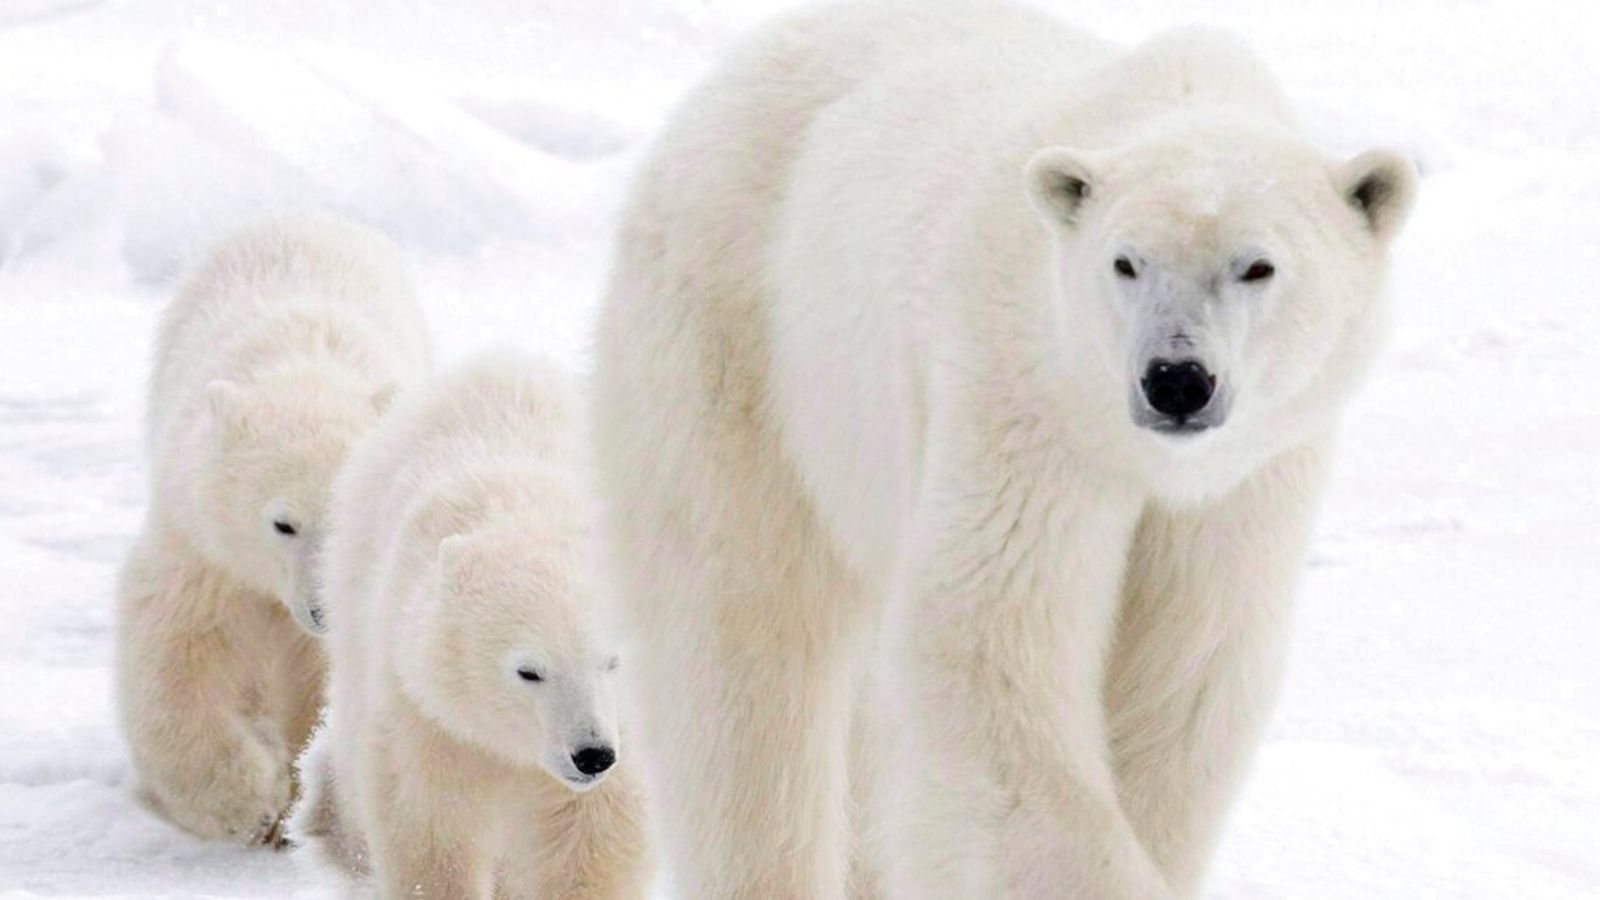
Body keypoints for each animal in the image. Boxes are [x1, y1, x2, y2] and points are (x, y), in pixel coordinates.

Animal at [115, 214, 433, 846]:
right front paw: (246, 802)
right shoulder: (200, 540)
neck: (302, 368)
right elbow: (173, 642)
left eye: (345, 519)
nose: (321, 612)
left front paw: (293, 806)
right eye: (283, 522)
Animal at [288, 354, 651, 900]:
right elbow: (429, 821)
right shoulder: (429, 708)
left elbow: (591, 837)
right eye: (529, 671)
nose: (592, 755)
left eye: (612, 661)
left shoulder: (625, 730)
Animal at [590, 2, 1418, 899]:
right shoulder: (1021, 398)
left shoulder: (1249, 478)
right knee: (746, 646)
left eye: (1257, 266)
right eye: (1125, 262)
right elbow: (987, 652)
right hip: (745, 341)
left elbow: (1190, 674)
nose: (1176, 380)